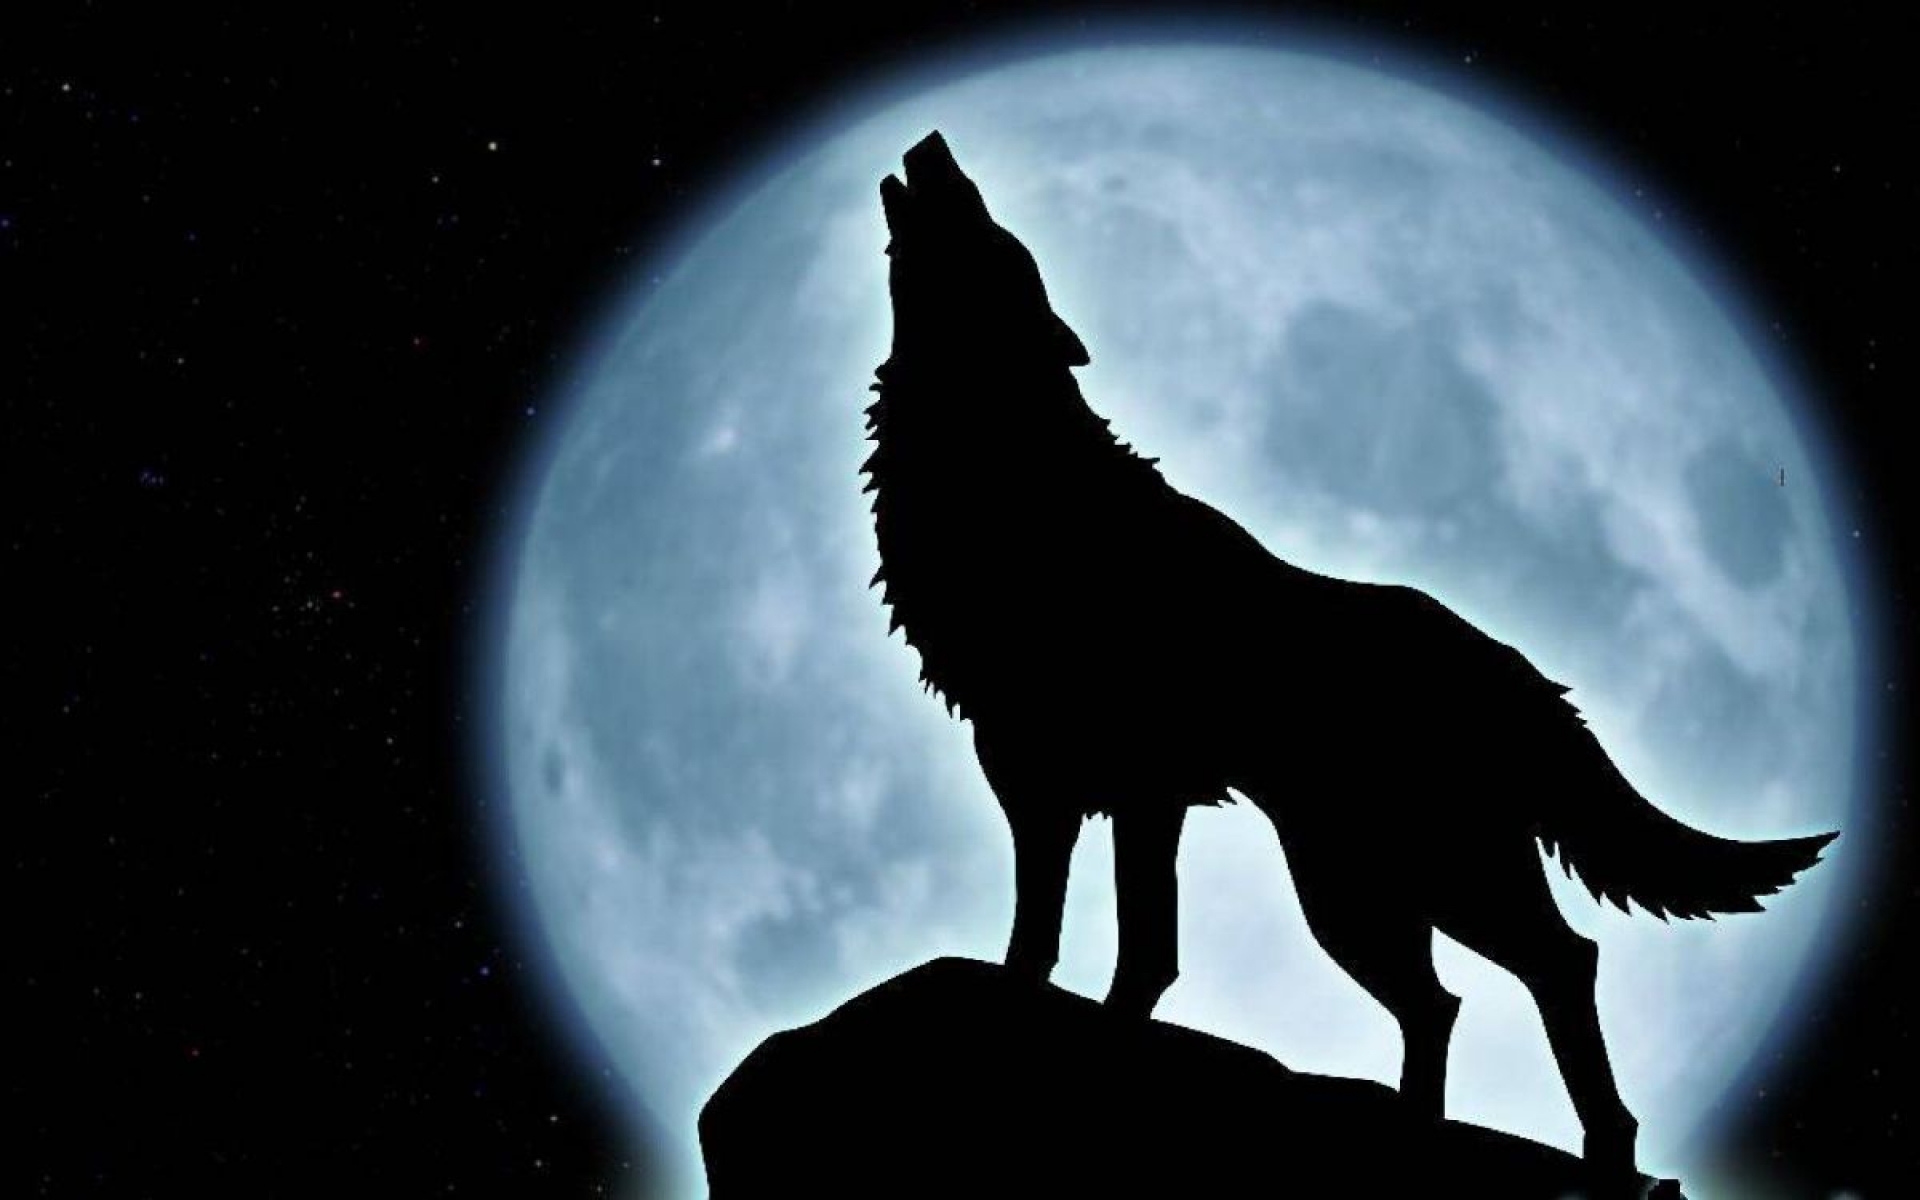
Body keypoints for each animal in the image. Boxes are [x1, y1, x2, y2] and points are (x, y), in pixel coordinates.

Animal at [862, 131, 1835, 1185]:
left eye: (996, 238)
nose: (933, 144)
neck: (1016, 476)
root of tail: (1516, 667)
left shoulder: (1118, 788)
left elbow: (1120, 946)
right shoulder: (1057, 785)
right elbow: (1063, 940)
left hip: (1415, 876)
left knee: (1557, 963)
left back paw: (1603, 1153)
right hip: (1360, 888)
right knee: (1444, 1000)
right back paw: (1418, 1128)